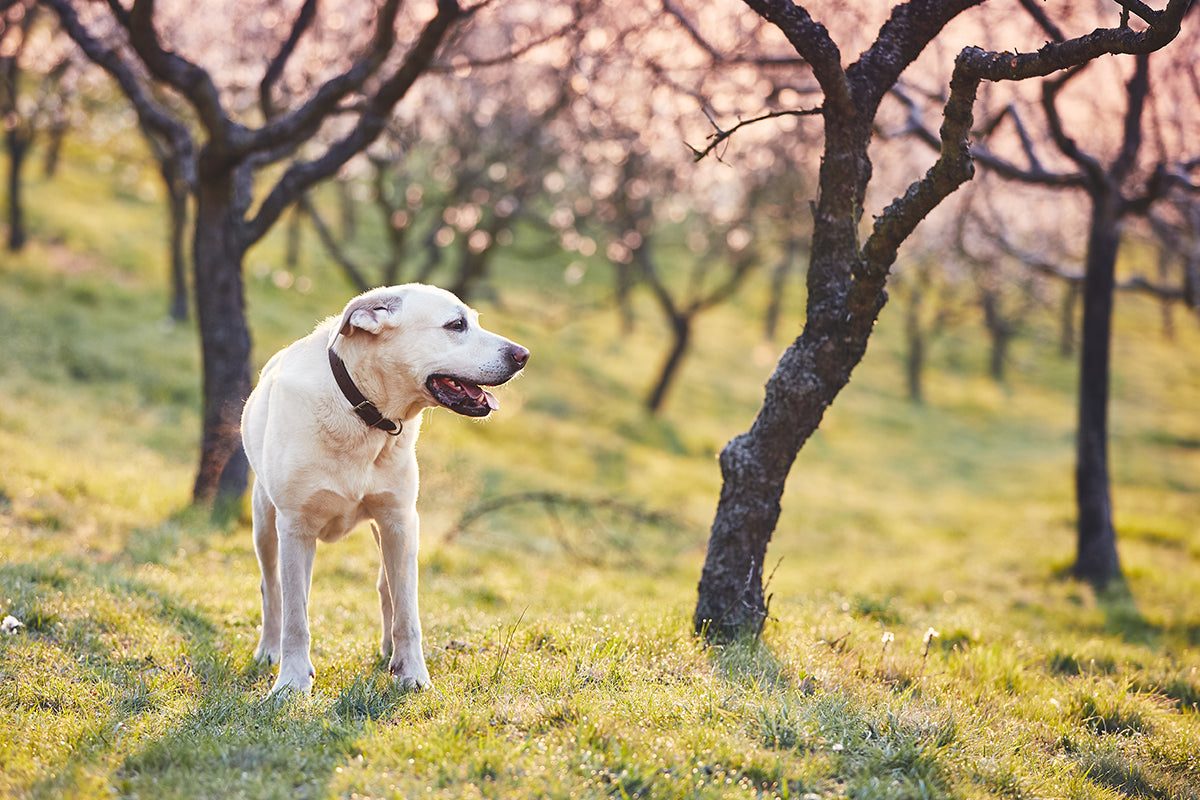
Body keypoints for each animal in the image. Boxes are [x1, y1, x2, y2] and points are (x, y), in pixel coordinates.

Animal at [241, 283, 528, 695]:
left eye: (473, 321)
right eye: (456, 325)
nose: (523, 356)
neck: (362, 414)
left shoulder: (400, 521)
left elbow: (407, 610)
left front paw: (412, 673)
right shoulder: (295, 528)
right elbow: (296, 614)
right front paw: (292, 681)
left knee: (387, 588)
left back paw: (390, 652)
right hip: (265, 524)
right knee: (272, 588)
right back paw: (269, 650)